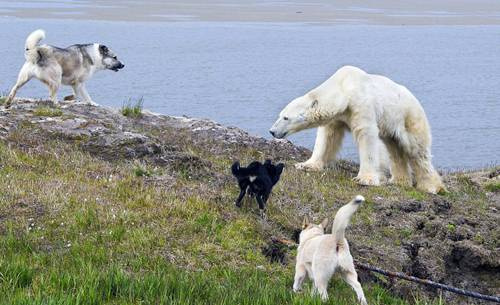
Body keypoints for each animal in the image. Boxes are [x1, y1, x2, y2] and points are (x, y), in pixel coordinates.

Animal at [270, 66, 446, 194]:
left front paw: (365, 179)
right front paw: (306, 165)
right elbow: (327, 137)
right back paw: (399, 181)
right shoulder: (338, 116)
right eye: (280, 115)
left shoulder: (361, 104)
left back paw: (431, 186)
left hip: (408, 117)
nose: (272, 131)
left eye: (286, 118)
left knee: (417, 151)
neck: (344, 88)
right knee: (394, 149)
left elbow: (366, 135)